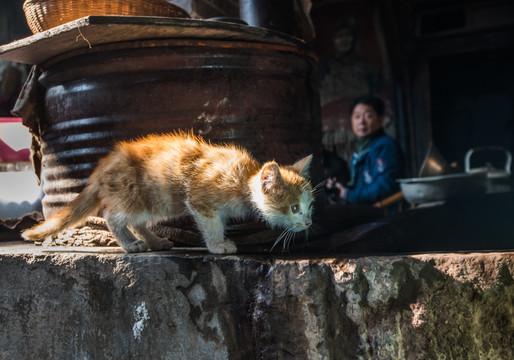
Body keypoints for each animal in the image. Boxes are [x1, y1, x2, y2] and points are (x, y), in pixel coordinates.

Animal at [22, 131, 314, 253]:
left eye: (310, 206)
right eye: (294, 208)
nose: (310, 222)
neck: (244, 178)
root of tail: (103, 166)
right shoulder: (200, 197)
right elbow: (210, 223)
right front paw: (218, 245)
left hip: (156, 202)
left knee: (138, 222)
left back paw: (154, 241)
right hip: (137, 196)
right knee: (114, 217)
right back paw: (130, 244)